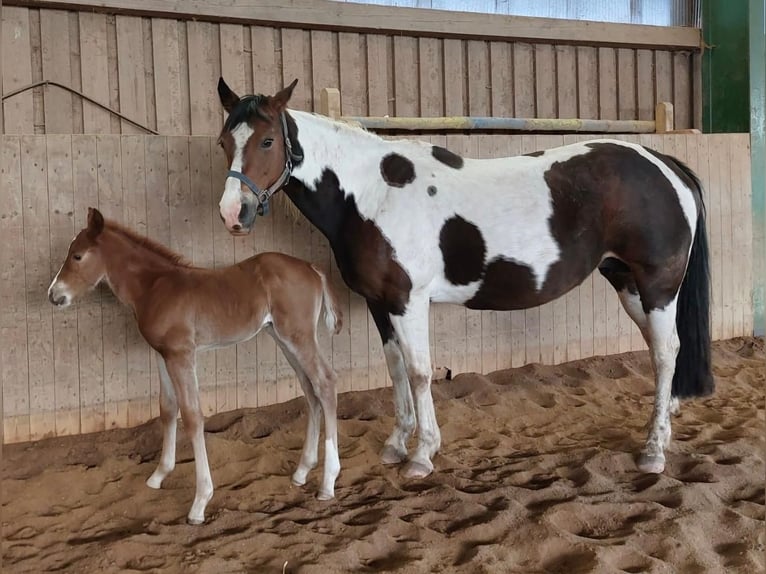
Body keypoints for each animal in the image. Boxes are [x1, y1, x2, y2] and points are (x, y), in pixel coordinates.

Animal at [47, 207, 343, 524]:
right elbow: (167, 409)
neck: (154, 286)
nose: (53, 295)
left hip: (298, 336)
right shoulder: (163, 355)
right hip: (282, 338)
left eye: (77, 255)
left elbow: (192, 416)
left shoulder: (182, 355)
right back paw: (302, 471)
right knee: (310, 389)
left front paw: (200, 502)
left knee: (325, 383)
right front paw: (158, 476)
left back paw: (327, 483)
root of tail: (311, 267)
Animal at [214, 77, 713, 482]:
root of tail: (662, 162)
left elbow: (419, 372)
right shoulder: (380, 303)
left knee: (665, 352)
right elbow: (395, 369)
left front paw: (422, 455)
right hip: (627, 282)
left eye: (266, 141)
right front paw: (396, 444)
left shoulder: (408, 300)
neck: (374, 193)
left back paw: (653, 450)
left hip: (657, 286)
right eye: (223, 142)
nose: (233, 214)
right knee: (662, 351)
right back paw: (665, 423)